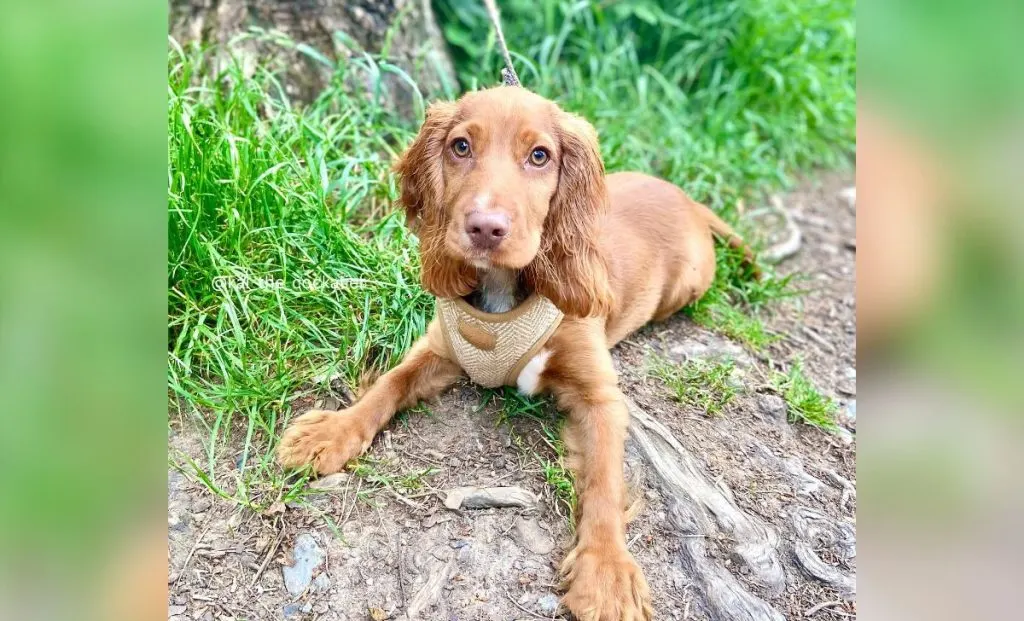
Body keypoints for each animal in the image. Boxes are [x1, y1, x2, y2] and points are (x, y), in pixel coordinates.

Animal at [276, 87, 757, 621]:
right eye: (461, 147)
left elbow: (605, 480)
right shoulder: (442, 347)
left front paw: (607, 572)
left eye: (539, 156)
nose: (485, 228)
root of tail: (689, 198)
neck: (505, 291)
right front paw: (332, 431)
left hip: (687, 285)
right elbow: (390, 383)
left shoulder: (601, 397)